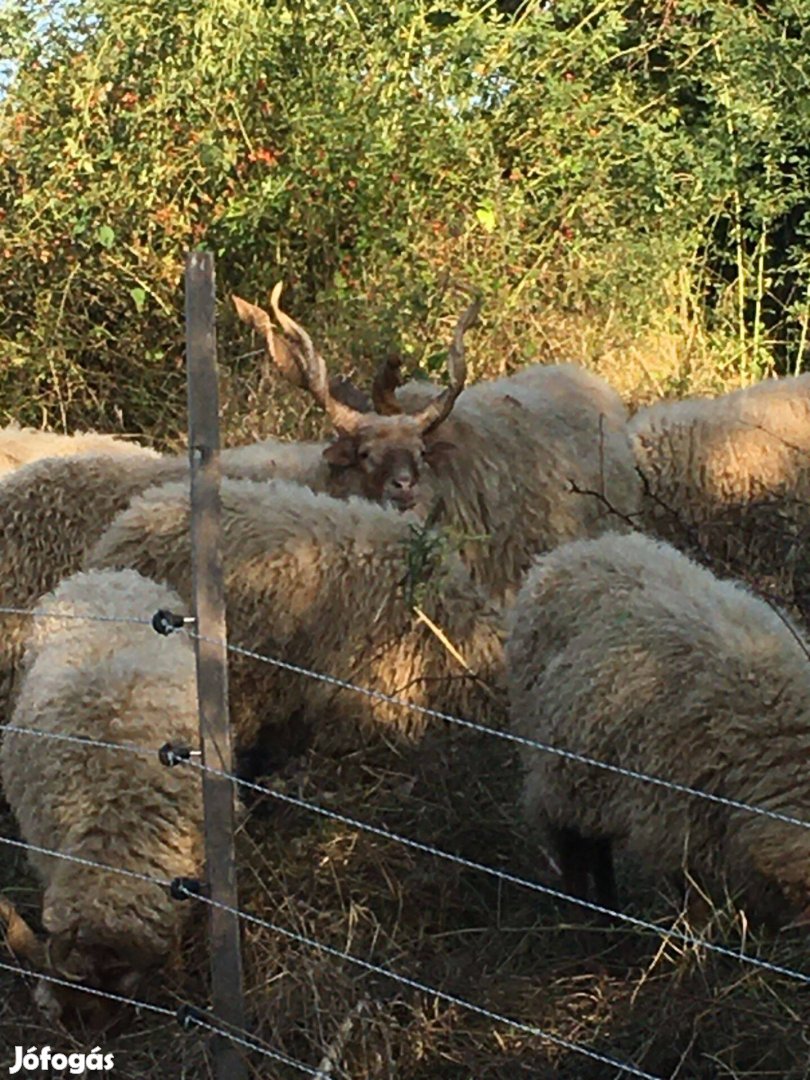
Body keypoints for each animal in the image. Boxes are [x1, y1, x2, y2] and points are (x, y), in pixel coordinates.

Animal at [509, 527, 810, 924]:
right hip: (556, 771)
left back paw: (610, 915)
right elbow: (693, 897)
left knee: (598, 846)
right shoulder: (676, 818)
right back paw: (584, 917)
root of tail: (574, 550)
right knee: (572, 844)